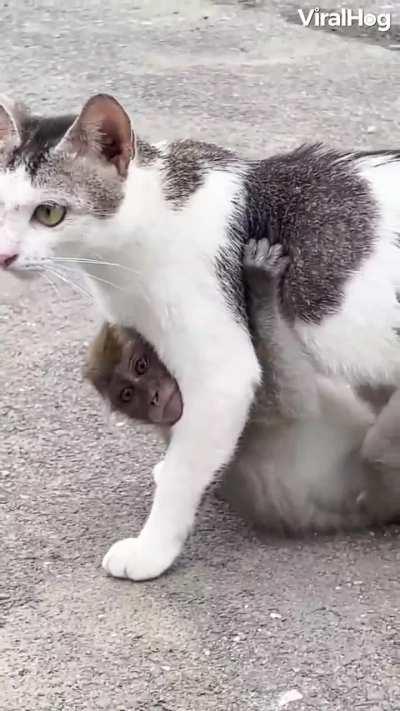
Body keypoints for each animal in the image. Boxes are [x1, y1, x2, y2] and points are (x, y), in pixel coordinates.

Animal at [84, 240, 400, 534]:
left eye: (141, 366)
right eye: (127, 395)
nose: (154, 399)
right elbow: (293, 401)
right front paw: (261, 291)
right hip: (382, 489)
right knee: (374, 451)